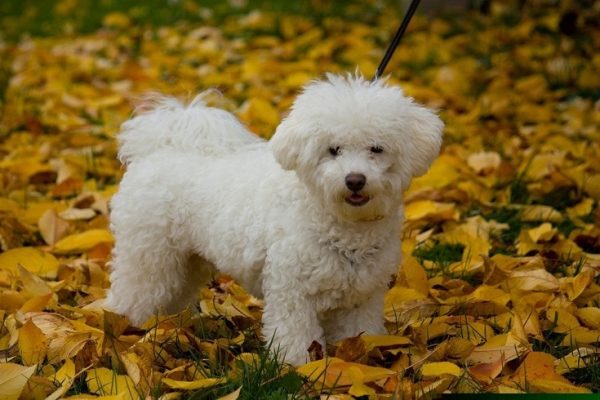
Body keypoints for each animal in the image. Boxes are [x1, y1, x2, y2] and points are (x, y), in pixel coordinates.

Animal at [104, 74, 440, 366]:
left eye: (376, 149)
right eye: (333, 150)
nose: (355, 180)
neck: (338, 222)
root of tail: (158, 150)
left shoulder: (362, 297)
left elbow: (360, 332)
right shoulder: (292, 290)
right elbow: (296, 337)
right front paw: (299, 368)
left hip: (186, 262)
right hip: (147, 254)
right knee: (132, 293)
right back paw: (119, 328)